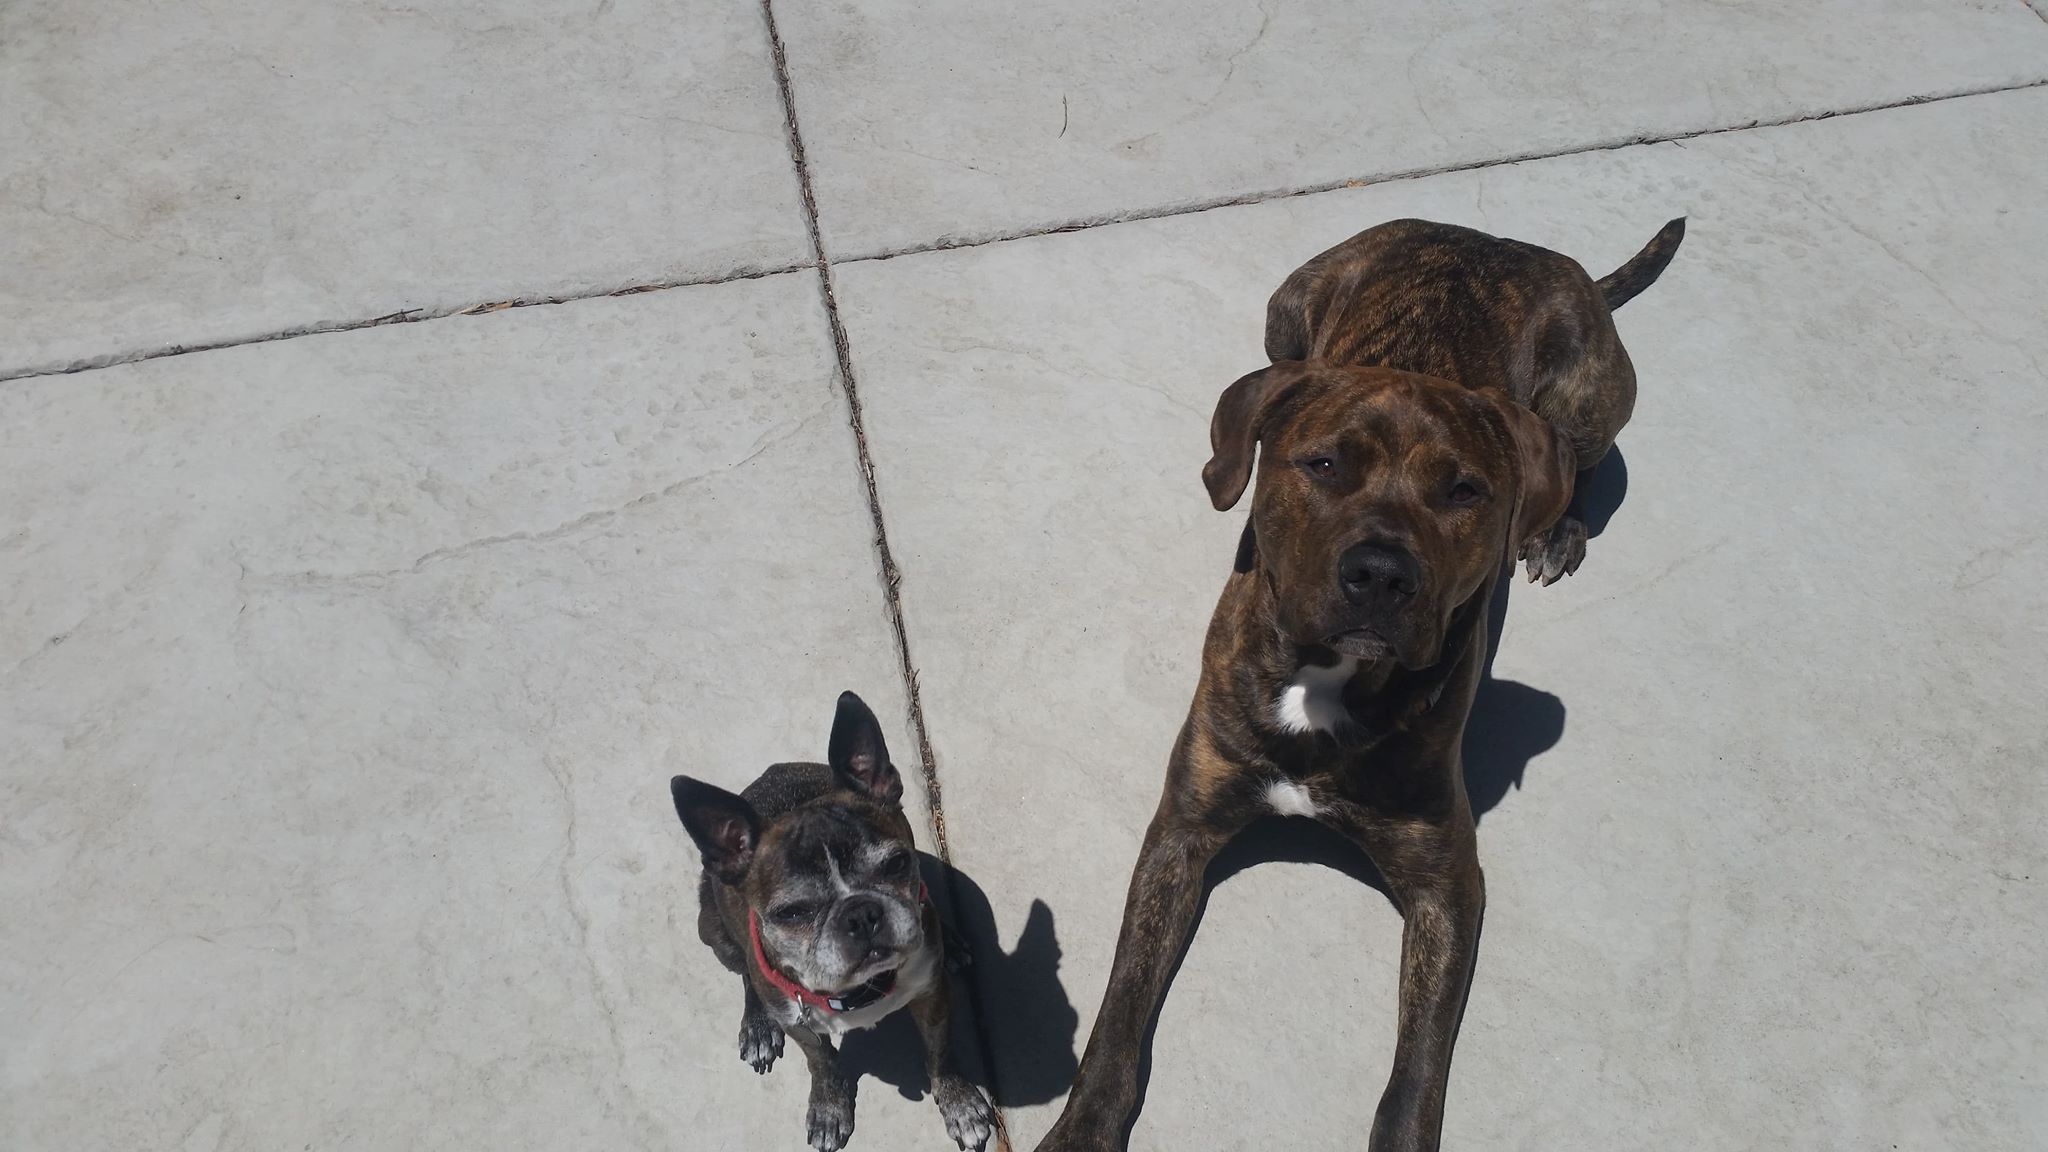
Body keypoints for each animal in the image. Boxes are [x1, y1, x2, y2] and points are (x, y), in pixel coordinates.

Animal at [671, 691, 995, 1152]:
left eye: (897, 864)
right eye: (791, 913)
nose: (861, 913)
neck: (863, 990)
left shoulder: (933, 997)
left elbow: (940, 1053)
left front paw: (959, 1102)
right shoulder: (801, 1026)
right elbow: (821, 1062)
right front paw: (828, 1108)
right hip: (712, 930)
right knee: (745, 973)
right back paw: (757, 1025)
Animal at [1032, 217, 1684, 1152]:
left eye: (1465, 490)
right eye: (1324, 465)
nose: (1381, 573)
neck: (1325, 680)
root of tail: (1503, 243)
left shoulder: (1446, 884)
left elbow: (1416, 1070)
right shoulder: (1180, 831)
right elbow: (1121, 1010)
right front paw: (1083, 1126)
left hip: (1590, 395)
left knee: (1576, 459)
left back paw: (1559, 526)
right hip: (1287, 306)